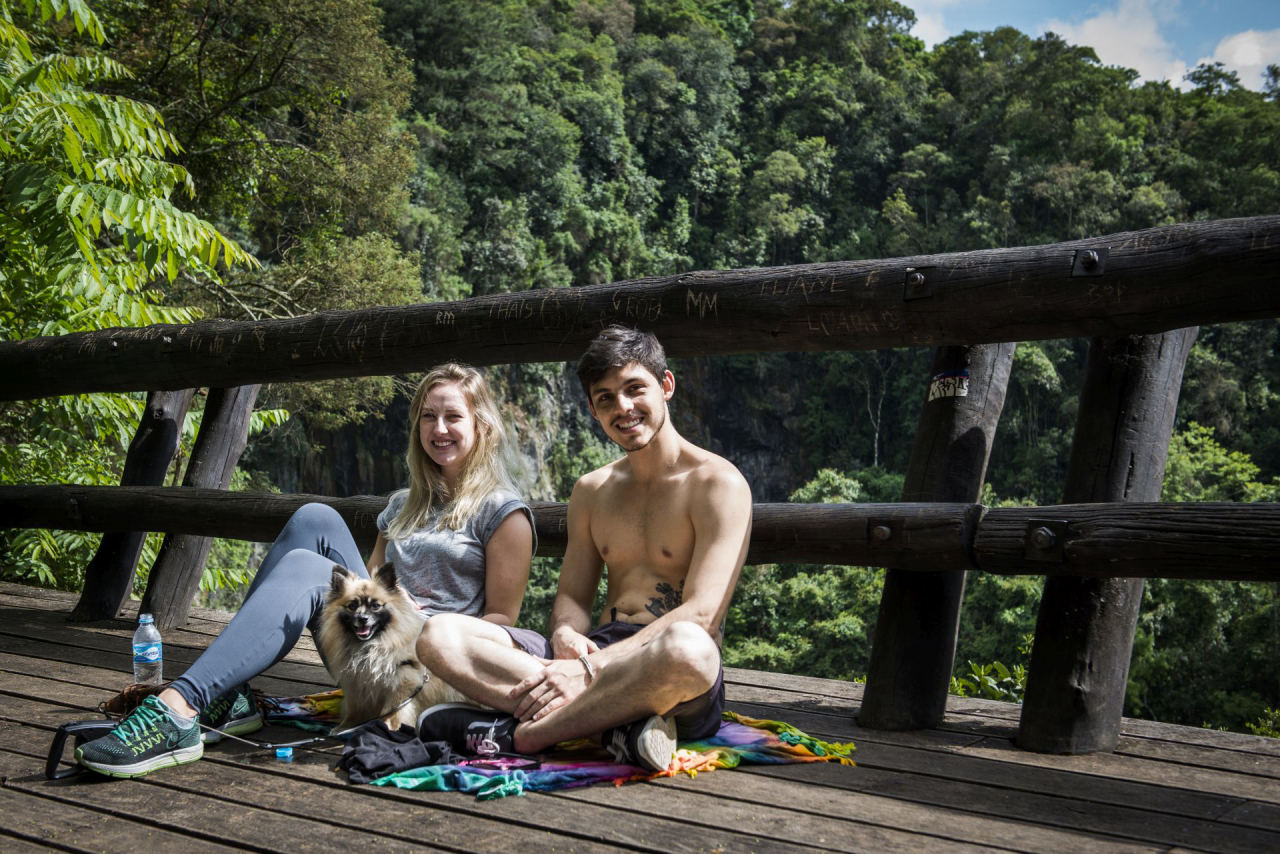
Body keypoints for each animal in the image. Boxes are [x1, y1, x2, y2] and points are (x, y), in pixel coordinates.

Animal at [317, 563, 478, 732]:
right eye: (352, 606)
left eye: (375, 606)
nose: (362, 618)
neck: (370, 646)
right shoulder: (356, 684)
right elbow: (355, 710)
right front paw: (344, 727)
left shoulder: (403, 680)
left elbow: (393, 711)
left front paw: (387, 726)